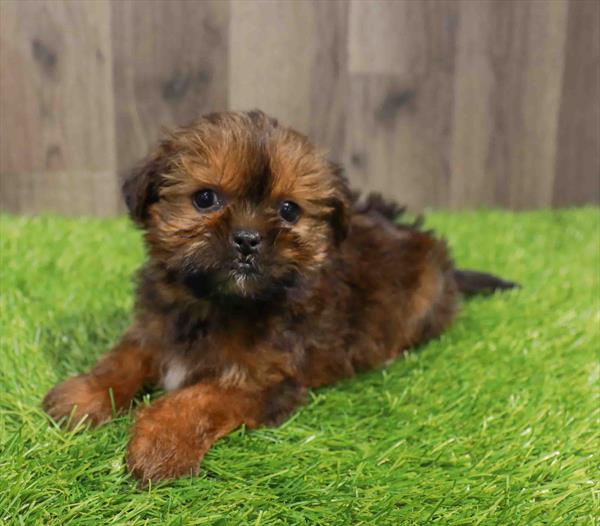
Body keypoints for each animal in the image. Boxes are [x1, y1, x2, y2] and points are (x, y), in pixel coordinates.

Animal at [43, 111, 516, 486]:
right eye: (205, 198)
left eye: (289, 210)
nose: (248, 239)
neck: (217, 304)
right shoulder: (154, 328)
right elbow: (122, 357)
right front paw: (84, 394)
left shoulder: (266, 379)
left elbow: (195, 398)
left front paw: (160, 442)